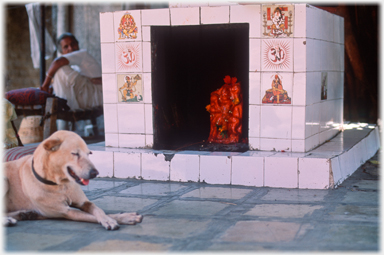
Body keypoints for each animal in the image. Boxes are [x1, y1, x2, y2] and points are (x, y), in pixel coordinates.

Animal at [3, 130, 142, 230]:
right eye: (75, 154)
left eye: (89, 153)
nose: (95, 173)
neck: (60, 185)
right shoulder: (66, 212)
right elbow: (91, 216)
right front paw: (113, 220)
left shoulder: (83, 202)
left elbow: (98, 209)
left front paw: (121, 217)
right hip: (5, 180)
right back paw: (9, 220)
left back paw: (24, 214)